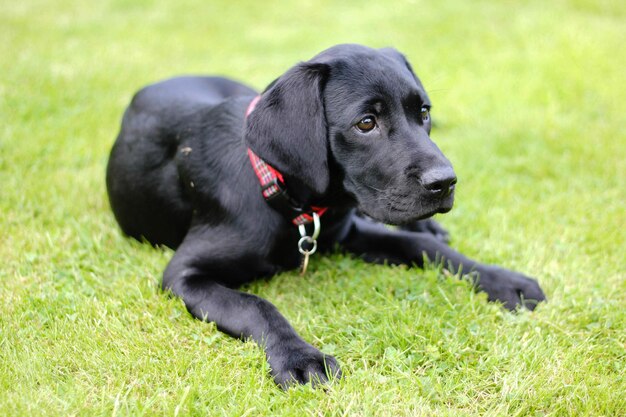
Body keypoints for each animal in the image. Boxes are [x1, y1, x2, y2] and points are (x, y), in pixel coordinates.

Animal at [105, 44, 544, 386]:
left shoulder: (348, 231)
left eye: (424, 112)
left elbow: (419, 245)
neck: (290, 203)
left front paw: (502, 280)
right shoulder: (183, 274)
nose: (446, 182)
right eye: (366, 123)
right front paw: (300, 358)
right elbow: (255, 304)